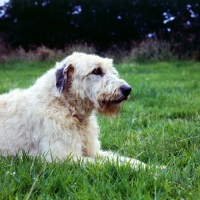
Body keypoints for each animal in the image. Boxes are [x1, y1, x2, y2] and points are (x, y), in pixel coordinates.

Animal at [0, 52, 147, 168]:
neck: (65, 106)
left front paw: (148, 167)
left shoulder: (94, 151)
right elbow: (108, 164)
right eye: (96, 71)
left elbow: (121, 159)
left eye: (111, 70)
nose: (127, 89)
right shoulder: (63, 157)